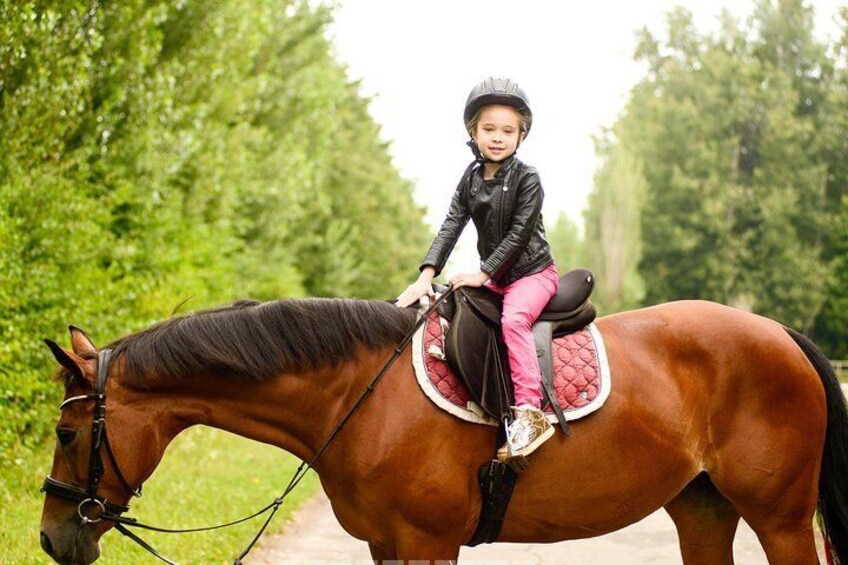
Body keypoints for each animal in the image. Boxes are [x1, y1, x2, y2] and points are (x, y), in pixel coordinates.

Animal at [39, 298, 848, 560]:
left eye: (70, 434)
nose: (51, 537)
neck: (360, 395)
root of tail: (780, 333)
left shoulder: (428, 544)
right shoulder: (385, 547)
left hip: (778, 519)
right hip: (704, 511)